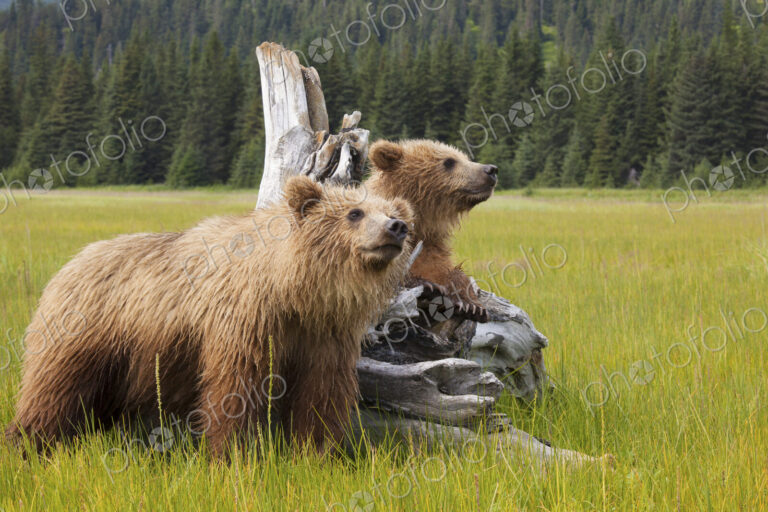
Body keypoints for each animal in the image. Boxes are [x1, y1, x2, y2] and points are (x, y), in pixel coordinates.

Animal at [5, 176, 414, 456]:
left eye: (393, 213)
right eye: (354, 212)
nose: (396, 227)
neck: (292, 292)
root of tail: (68, 265)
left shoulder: (324, 334)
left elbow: (321, 393)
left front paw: (317, 453)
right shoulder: (244, 321)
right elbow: (234, 388)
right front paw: (232, 454)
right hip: (87, 334)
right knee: (53, 389)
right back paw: (25, 443)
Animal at [366, 139, 498, 323]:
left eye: (464, 157)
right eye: (449, 161)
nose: (491, 169)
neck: (420, 224)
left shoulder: (431, 245)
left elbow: (446, 269)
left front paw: (472, 305)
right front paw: (429, 286)